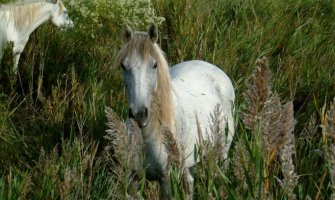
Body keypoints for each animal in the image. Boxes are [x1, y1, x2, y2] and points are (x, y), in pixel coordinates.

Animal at [115, 24, 236, 198]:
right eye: (123, 65)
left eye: (154, 65)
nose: (139, 114)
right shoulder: (133, 178)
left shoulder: (166, 180)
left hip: (222, 151)